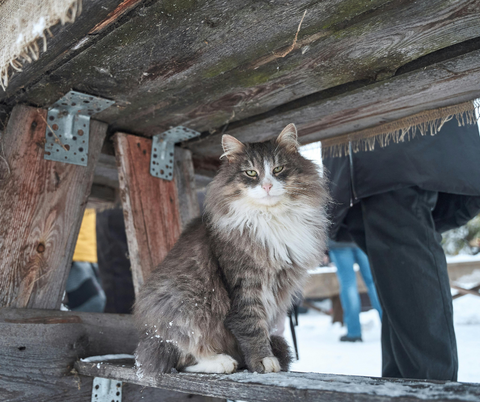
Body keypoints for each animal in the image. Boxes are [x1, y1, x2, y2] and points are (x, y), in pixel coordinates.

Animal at [134, 124, 330, 376]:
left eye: (278, 169)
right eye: (251, 173)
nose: (267, 186)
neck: (270, 218)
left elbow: (262, 327)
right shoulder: (244, 283)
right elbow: (251, 326)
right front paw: (263, 360)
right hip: (185, 305)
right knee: (180, 358)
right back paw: (222, 361)